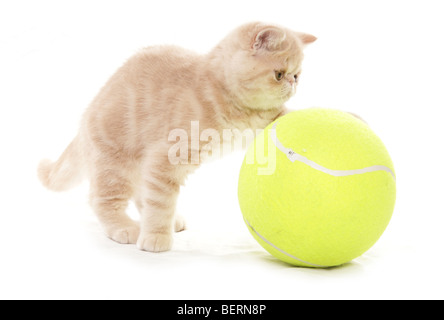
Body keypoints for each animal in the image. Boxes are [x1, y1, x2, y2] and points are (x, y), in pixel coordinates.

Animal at [38, 22, 316, 252]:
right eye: (279, 74)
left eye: (297, 75)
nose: (293, 84)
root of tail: (86, 115)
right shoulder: (167, 157)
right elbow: (160, 202)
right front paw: (156, 237)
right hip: (115, 163)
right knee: (104, 200)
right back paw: (125, 227)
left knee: (141, 192)